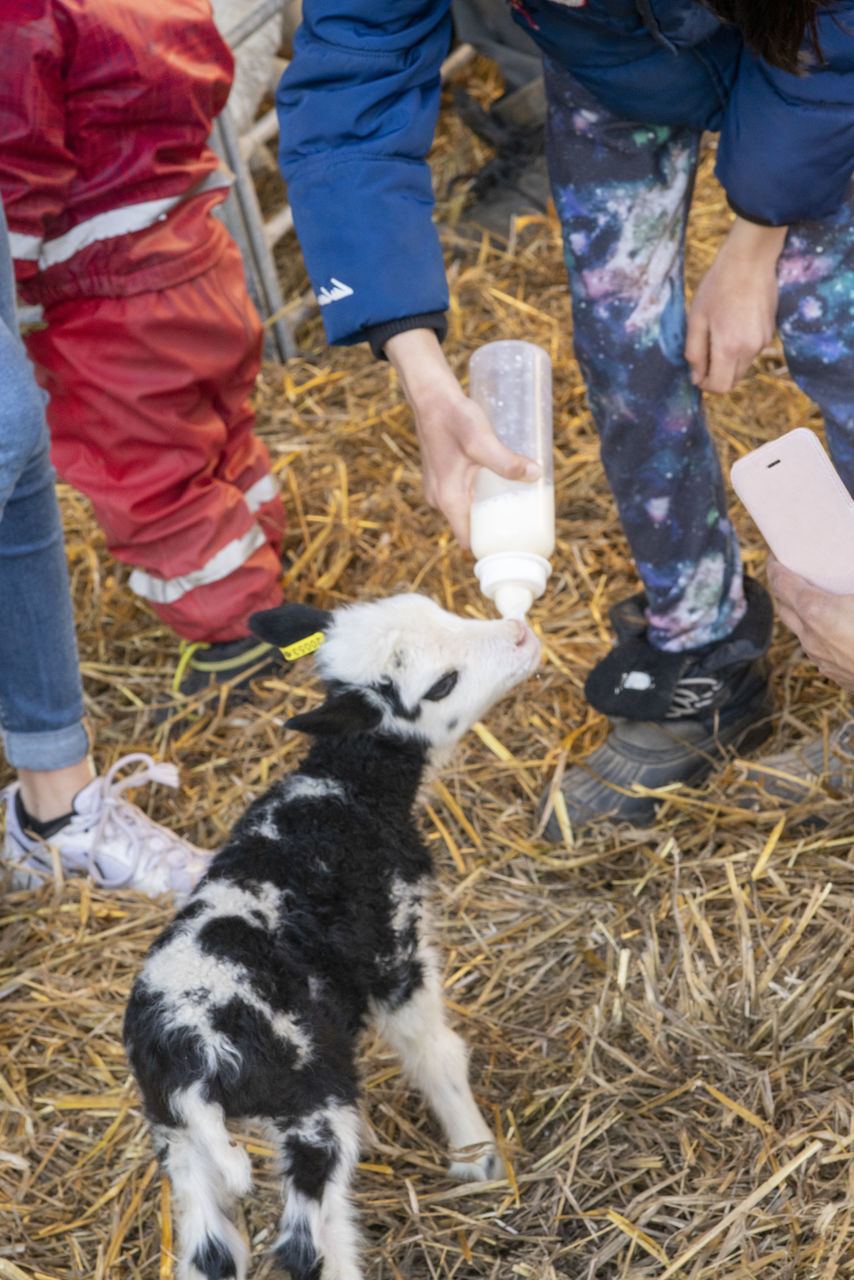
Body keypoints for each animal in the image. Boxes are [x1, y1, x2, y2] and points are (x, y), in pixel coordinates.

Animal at [125, 593, 540, 1280]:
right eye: (442, 684)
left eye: (436, 606)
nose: (522, 636)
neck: (344, 791)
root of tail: (189, 1065)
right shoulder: (396, 951)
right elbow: (436, 1053)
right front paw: (475, 1154)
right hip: (311, 1105)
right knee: (306, 1242)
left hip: (178, 1141)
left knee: (210, 1251)